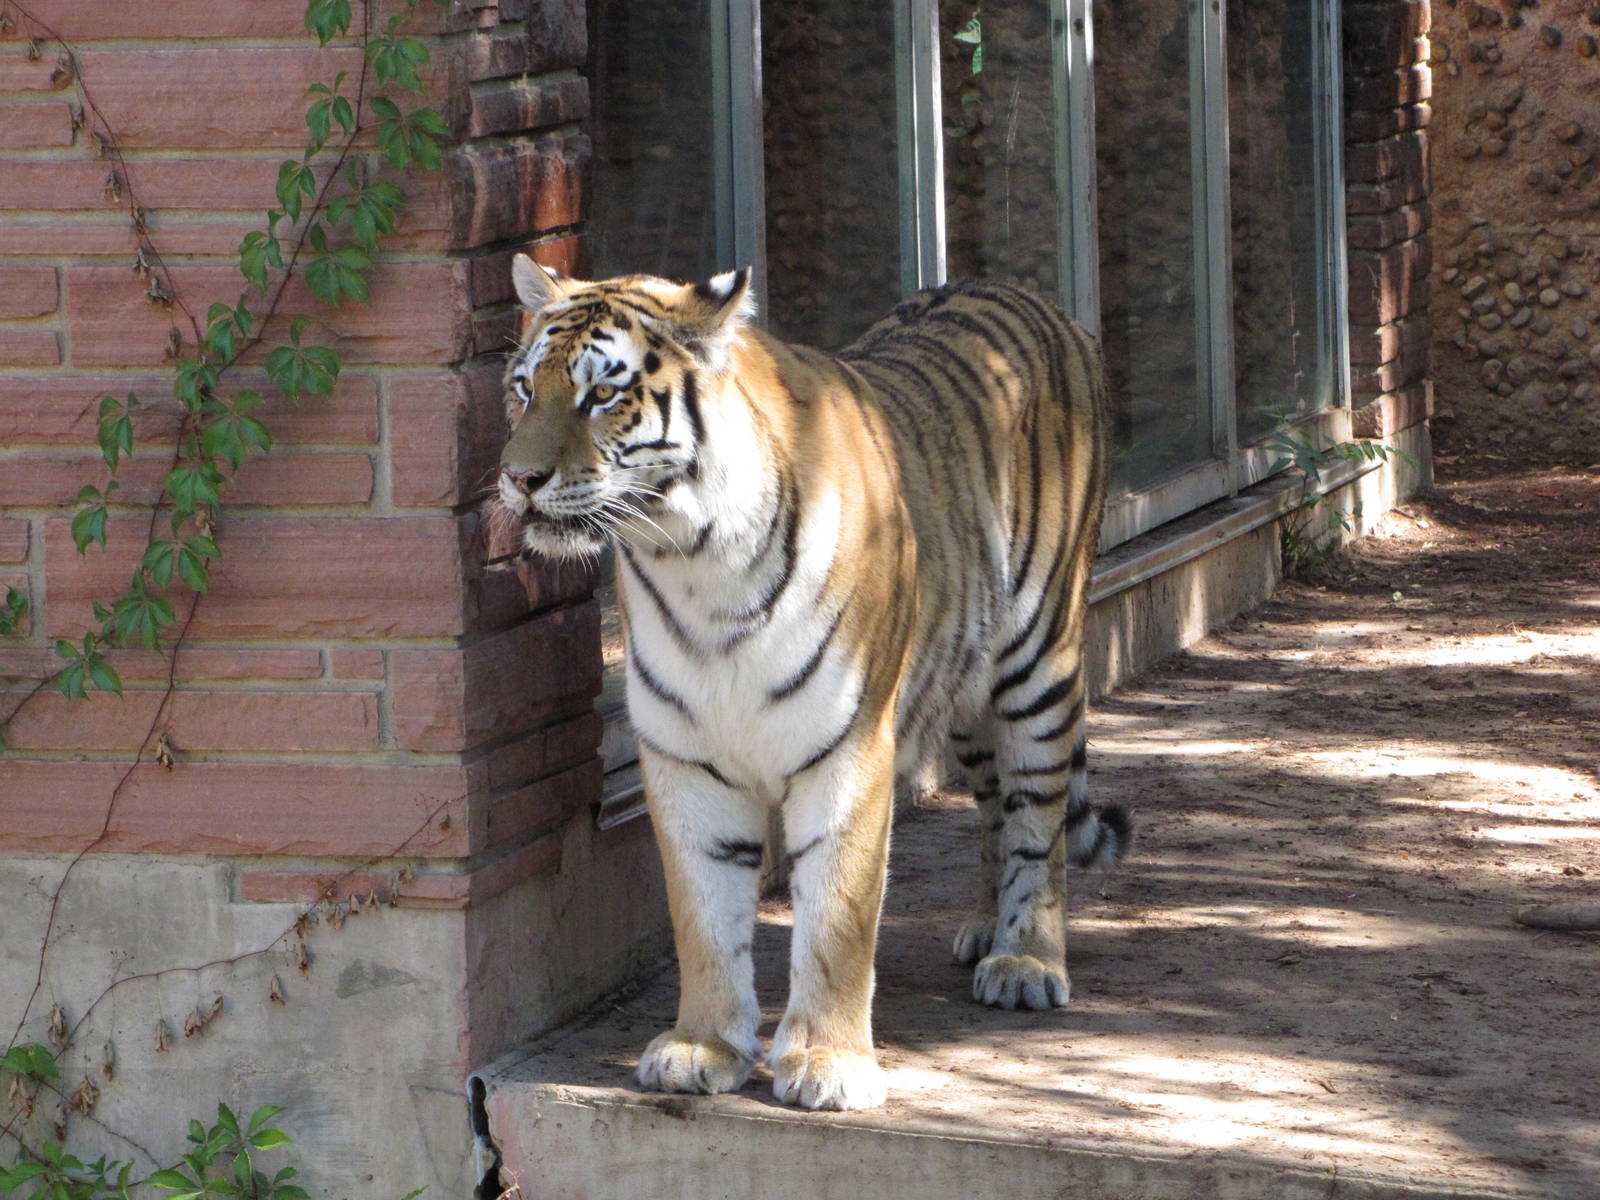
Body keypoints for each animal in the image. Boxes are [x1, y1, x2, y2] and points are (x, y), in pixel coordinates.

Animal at [494, 254, 1130, 1112]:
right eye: (524, 388)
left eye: (602, 395)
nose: (518, 477)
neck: (693, 562)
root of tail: (1023, 290)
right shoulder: (685, 760)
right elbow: (703, 916)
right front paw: (703, 1047)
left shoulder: (848, 747)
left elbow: (837, 916)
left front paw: (829, 1063)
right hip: (962, 687)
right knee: (996, 805)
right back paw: (982, 929)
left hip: (1041, 662)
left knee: (1041, 816)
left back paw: (1025, 957)